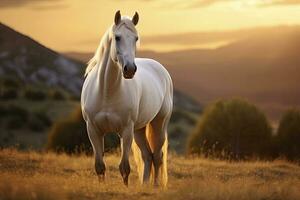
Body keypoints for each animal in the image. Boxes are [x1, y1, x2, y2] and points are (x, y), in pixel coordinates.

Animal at [81, 10, 172, 186]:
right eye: (117, 37)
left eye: (136, 38)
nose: (130, 69)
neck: (107, 92)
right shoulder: (93, 130)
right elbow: (99, 166)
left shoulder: (126, 131)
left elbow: (124, 168)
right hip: (139, 129)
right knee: (147, 156)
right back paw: (144, 185)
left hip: (158, 124)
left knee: (157, 157)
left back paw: (155, 186)